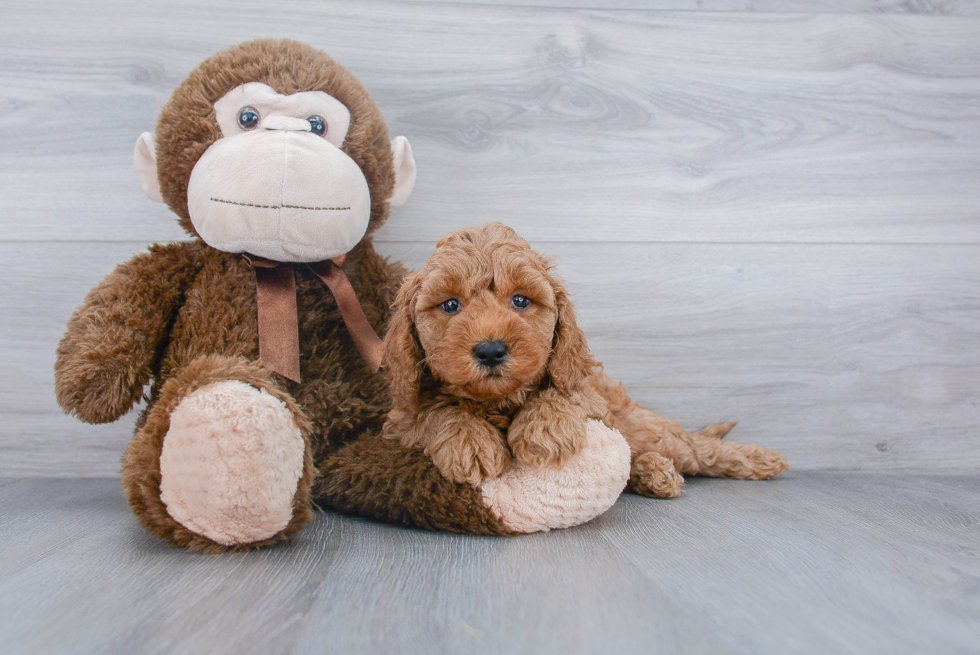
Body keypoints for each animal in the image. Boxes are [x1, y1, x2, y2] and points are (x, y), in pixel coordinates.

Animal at [382, 222, 788, 498]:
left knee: (697, 449)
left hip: (642, 425)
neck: (498, 402)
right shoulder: (403, 419)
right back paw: (653, 472)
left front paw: (545, 429)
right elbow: (434, 410)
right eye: (450, 305)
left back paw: (760, 459)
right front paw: (469, 439)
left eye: (520, 300)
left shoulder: (586, 390)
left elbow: (563, 392)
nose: (491, 350)